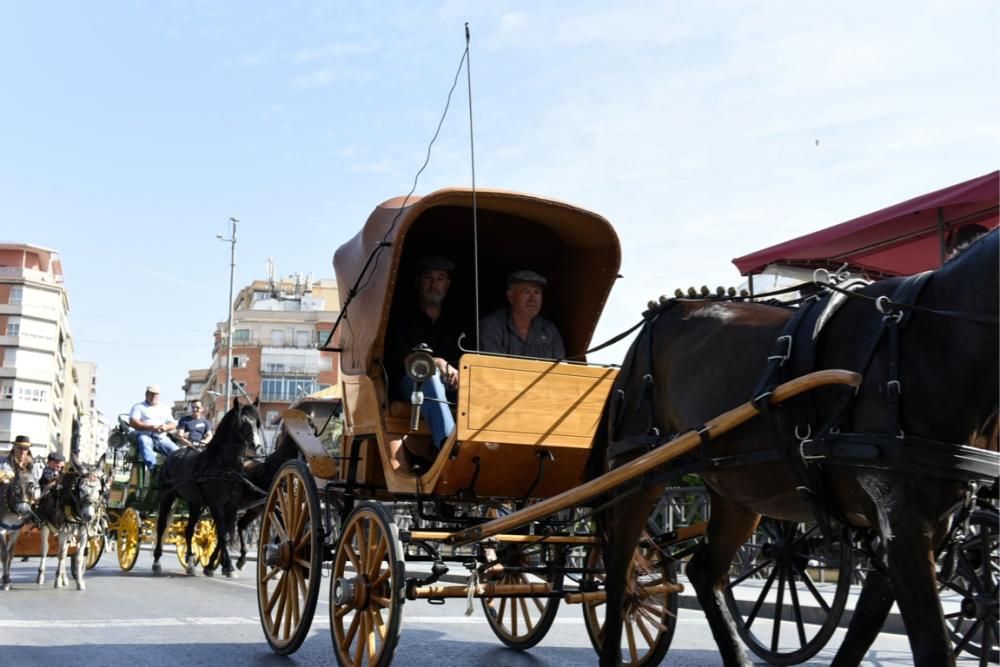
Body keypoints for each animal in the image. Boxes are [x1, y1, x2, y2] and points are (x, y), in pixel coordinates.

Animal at [588, 227, 996, 664]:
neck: (933, 342)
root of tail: (656, 318)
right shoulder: (902, 520)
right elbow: (932, 645)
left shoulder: (919, 526)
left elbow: (862, 635)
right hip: (637, 470)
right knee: (618, 572)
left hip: (739, 489)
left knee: (703, 570)